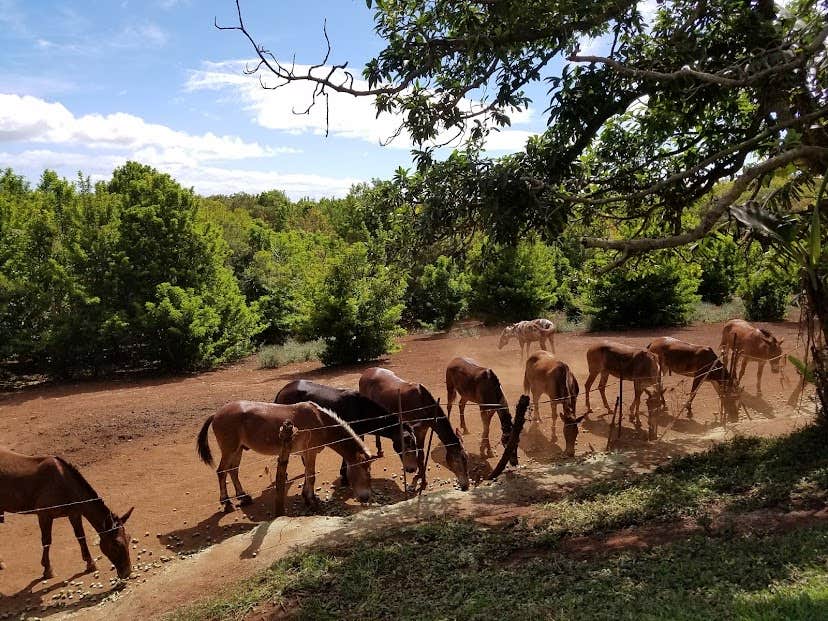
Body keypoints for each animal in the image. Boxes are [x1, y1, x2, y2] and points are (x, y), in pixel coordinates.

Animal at [0, 448, 133, 580]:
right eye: (116, 545)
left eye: (129, 538)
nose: (127, 572)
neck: (63, 484)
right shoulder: (44, 516)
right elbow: (47, 541)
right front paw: (48, 569)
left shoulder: (74, 514)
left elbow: (81, 536)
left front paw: (90, 563)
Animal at [197, 400, 372, 512]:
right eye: (365, 471)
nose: (366, 497)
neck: (320, 422)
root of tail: (216, 414)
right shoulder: (310, 452)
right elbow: (311, 476)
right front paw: (312, 501)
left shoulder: (307, 453)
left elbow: (307, 474)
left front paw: (307, 498)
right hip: (229, 450)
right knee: (222, 472)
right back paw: (226, 503)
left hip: (238, 449)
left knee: (233, 471)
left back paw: (243, 497)